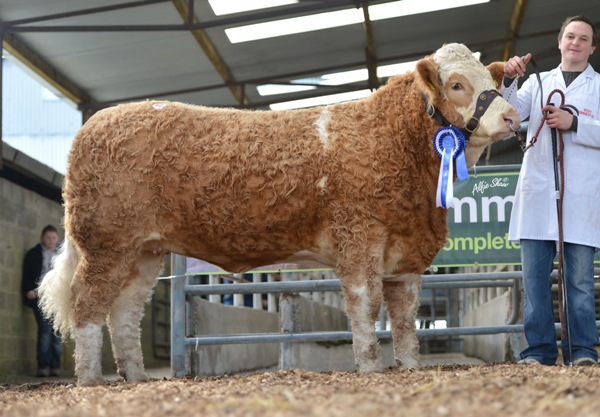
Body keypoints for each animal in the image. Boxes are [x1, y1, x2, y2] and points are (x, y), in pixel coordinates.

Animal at [39, 43, 520, 386]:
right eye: (456, 84)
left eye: (492, 80)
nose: (513, 116)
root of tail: (94, 123)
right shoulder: (359, 236)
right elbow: (365, 305)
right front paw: (369, 367)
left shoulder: (405, 253)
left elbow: (403, 317)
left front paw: (409, 367)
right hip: (106, 243)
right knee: (87, 303)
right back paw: (90, 379)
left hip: (144, 252)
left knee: (124, 312)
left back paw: (136, 377)